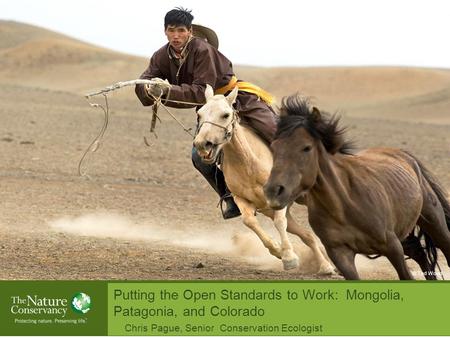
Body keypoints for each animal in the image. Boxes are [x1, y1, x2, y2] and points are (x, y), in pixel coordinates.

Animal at [192, 86, 332, 274]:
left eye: (225, 114)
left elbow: (280, 222)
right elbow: (249, 221)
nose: (202, 144)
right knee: (307, 236)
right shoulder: (242, 200)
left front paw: (289, 257)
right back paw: (325, 266)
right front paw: (278, 250)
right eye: (199, 114)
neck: (249, 164)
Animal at [264, 95, 450, 280]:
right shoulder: (341, 255)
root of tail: (404, 155)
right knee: (420, 255)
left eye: (306, 147)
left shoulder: (392, 247)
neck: (343, 205)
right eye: (274, 146)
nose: (273, 191)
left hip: (433, 221)